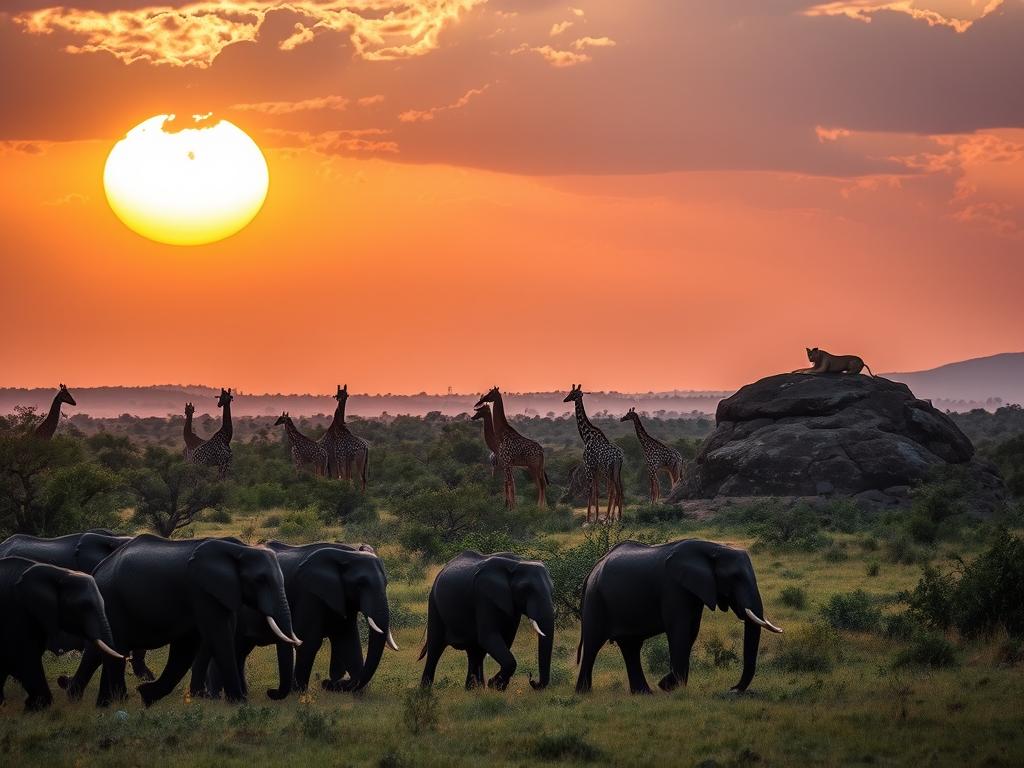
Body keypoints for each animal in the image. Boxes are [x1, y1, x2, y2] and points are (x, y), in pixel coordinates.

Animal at [60, 534, 299, 707]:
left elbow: (188, 645)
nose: (270, 692)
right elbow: (219, 636)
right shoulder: (202, 590)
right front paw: (239, 703)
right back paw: (115, 701)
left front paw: (147, 695)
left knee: (104, 649)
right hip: (112, 600)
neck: (240, 550)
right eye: (260, 580)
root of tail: (98, 570)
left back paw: (96, 701)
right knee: (114, 646)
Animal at [191, 541, 397, 700]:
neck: (347, 553)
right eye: (361, 584)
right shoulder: (311, 595)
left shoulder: (341, 598)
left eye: (386, 583)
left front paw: (354, 692)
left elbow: (348, 642)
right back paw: (214, 696)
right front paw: (299, 693)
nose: (328, 683)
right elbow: (310, 641)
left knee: (238, 650)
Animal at [419, 551, 554, 691]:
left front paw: (496, 686)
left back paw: (473, 689)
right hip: (434, 603)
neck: (517, 564)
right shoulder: (484, 597)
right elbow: (488, 637)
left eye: (552, 590)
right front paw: (494, 685)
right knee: (435, 647)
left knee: (474, 651)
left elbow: (505, 639)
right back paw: (425, 691)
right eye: (525, 590)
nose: (532, 680)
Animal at [563, 384, 624, 523]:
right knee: (619, 490)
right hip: (616, 471)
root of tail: (619, 458)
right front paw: (595, 518)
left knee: (613, 491)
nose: (565, 399)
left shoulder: (588, 465)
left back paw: (610, 518)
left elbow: (590, 490)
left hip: (608, 470)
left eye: (573, 393)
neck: (587, 436)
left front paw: (588, 519)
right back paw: (617, 517)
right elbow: (596, 491)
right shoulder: (595, 468)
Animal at [575, 539, 782, 695]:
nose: (733, 688)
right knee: (593, 644)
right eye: (735, 577)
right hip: (595, 599)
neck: (713, 549)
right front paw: (670, 686)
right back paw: (584, 693)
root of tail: (592, 570)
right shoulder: (673, 588)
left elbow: (691, 632)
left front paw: (668, 684)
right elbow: (679, 631)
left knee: (631, 647)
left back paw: (644, 693)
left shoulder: (695, 592)